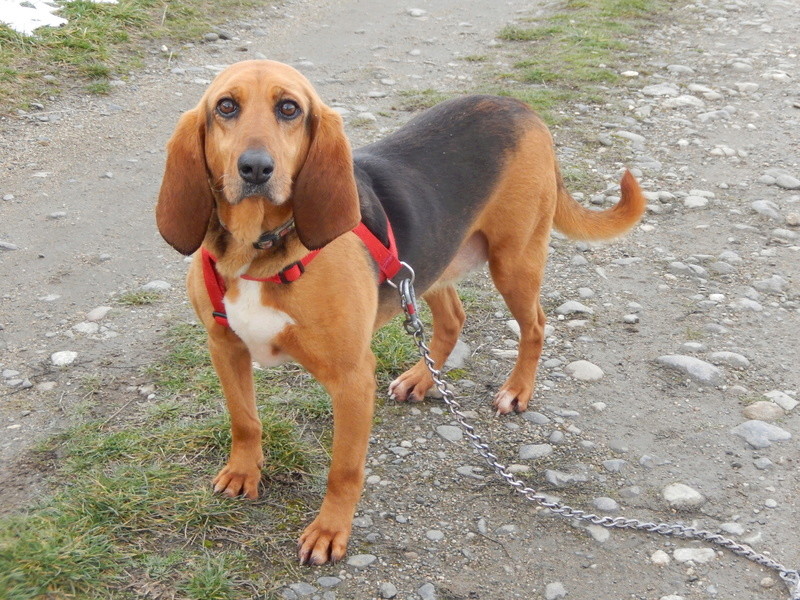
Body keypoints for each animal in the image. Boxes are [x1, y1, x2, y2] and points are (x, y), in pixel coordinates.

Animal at [155, 59, 644, 568]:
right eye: (225, 107)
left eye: (289, 108)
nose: (254, 168)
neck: (259, 253)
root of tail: (519, 107)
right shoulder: (224, 346)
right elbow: (244, 420)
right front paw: (243, 472)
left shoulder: (352, 379)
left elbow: (344, 469)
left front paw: (330, 531)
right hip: (429, 266)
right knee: (452, 321)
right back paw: (420, 379)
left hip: (514, 263)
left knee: (536, 326)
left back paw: (516, 390)